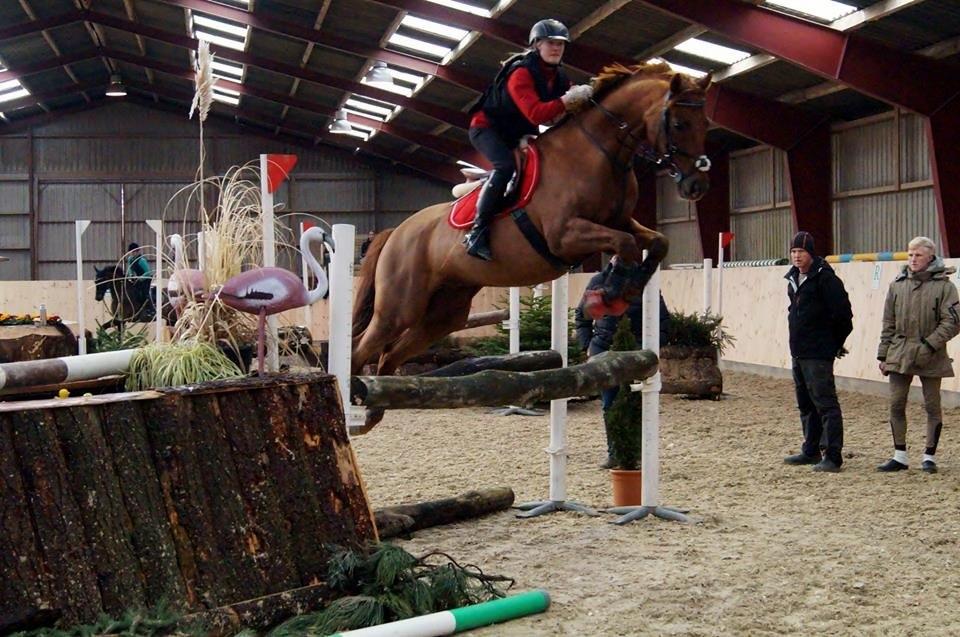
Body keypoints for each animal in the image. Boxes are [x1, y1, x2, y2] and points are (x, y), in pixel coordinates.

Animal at [352, 64, 712, 404]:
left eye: (706, 124)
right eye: (679, 124)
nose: (696, 186)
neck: (599, 154)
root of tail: (396, 231)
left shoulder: (621, 222)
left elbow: (657, 243)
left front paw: (626, 289)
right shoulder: (564, 236)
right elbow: (625, 246)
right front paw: (606, 297)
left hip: (443, 313)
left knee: (388, 355)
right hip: (399, 307)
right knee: (361, 348)